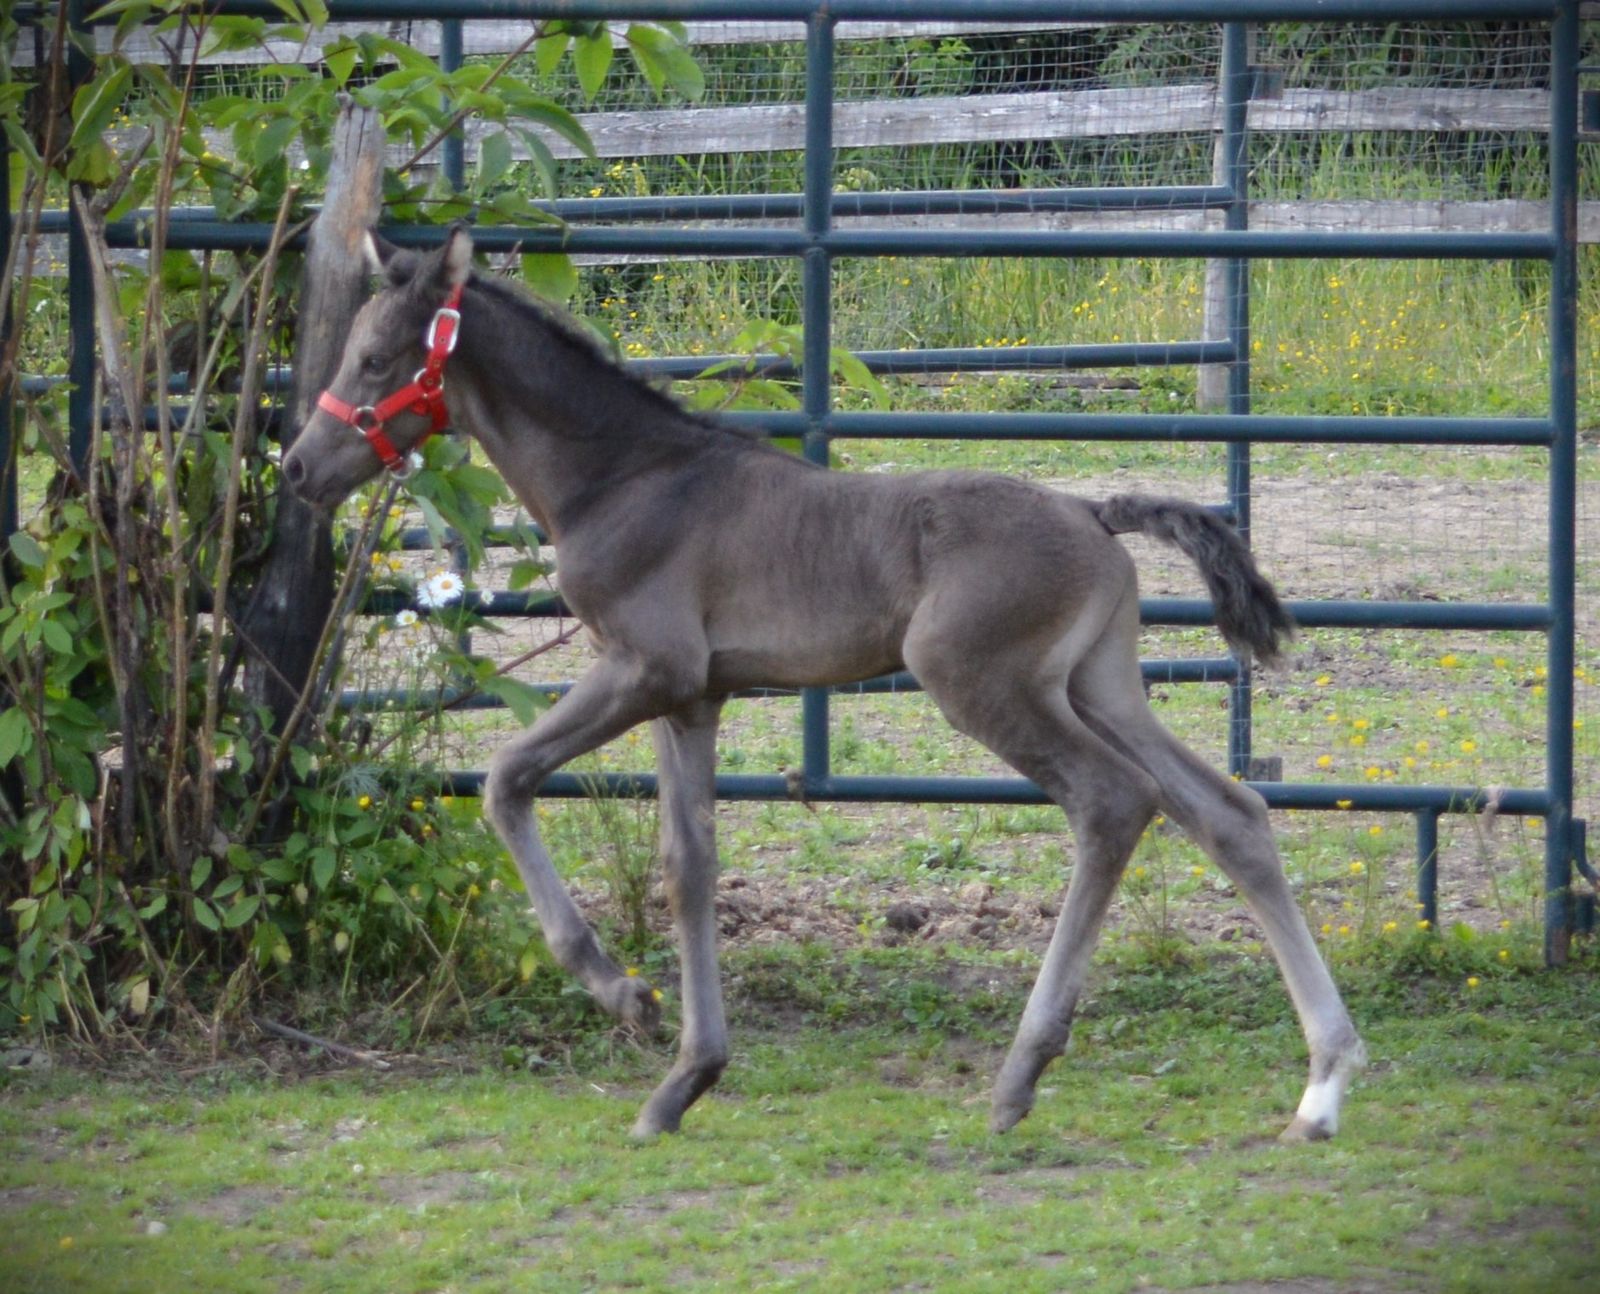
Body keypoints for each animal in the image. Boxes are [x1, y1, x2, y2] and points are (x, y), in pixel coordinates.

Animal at [283, 225, 1364, 1141]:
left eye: (373, 359)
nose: (296, 468)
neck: (623, 477)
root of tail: (1093, 513)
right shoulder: (692, 696)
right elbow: (688, 864)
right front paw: (684, 1079)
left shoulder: (644, 666)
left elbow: (506, 777)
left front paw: (621, 993)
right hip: (1098, 685)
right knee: (1226, 811)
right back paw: (1321, 1083)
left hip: (980, 682)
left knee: (1112, 804)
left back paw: (1021, 1074)